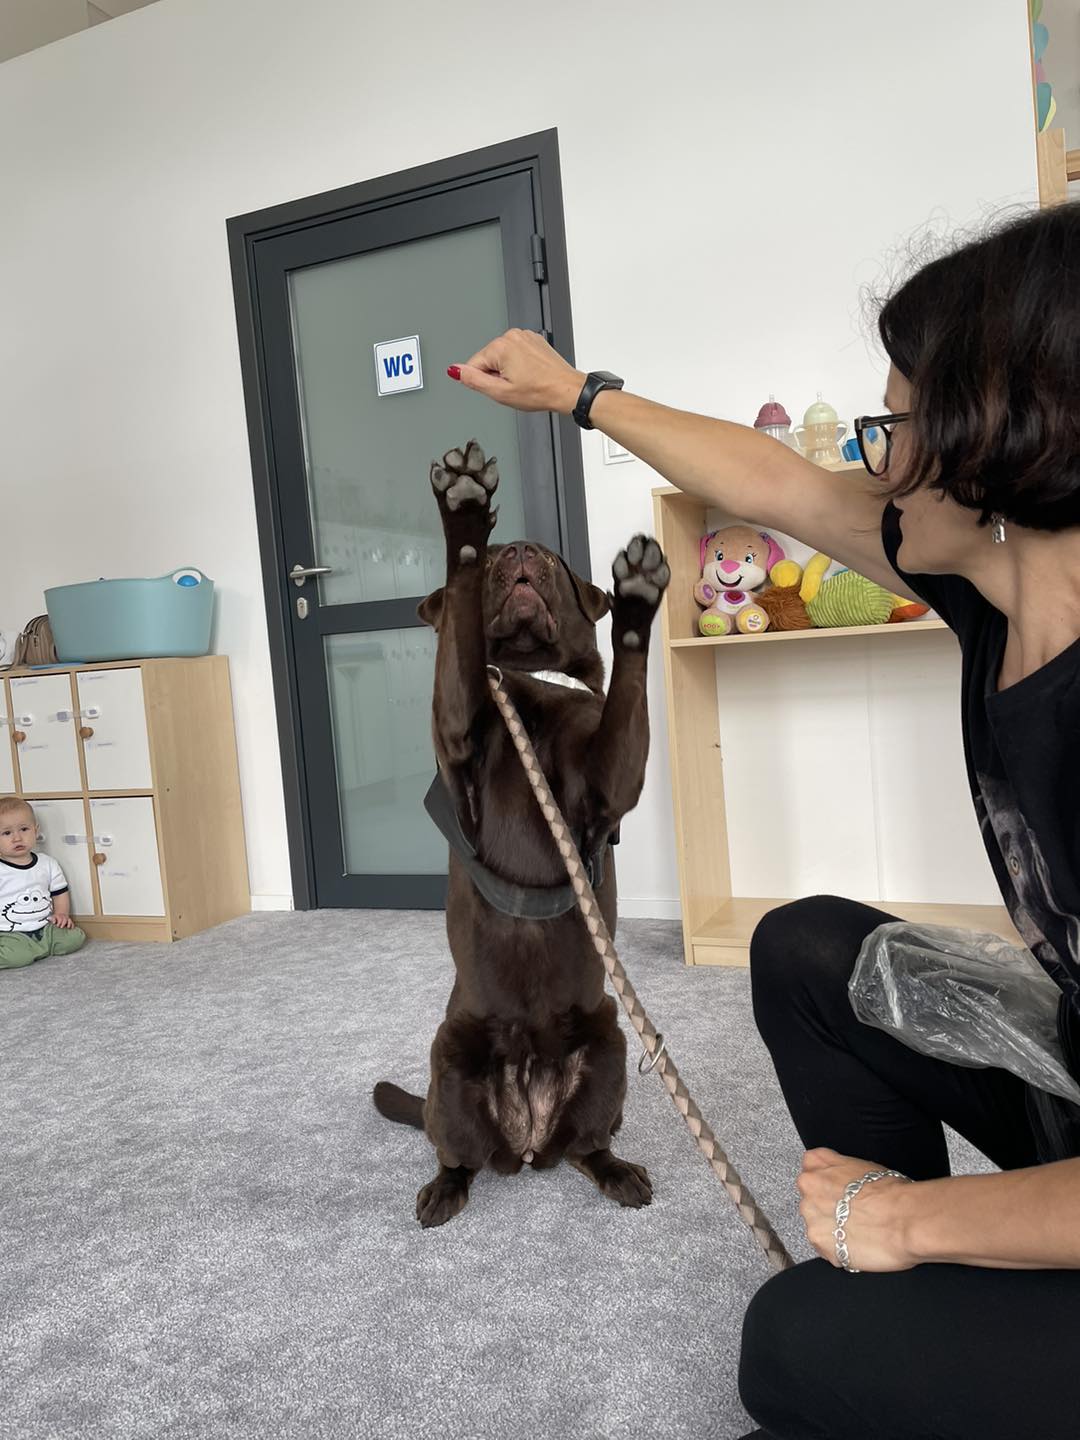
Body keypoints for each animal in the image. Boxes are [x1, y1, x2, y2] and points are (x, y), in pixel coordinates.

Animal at [373, 440, 670, 1227]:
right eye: (502, 561)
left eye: (551, 561)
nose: (519, 555)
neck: (528, 678)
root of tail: (529, 1135)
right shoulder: (459, 738)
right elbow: (459, 645)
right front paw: (464, 512)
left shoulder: (605, 791)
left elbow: (623, 698)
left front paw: (637, 599)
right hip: (449, 1061)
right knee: (457, 1154)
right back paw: (443, 1191)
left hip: (610, 1046)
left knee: (588, 1145)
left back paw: (617, 1172)